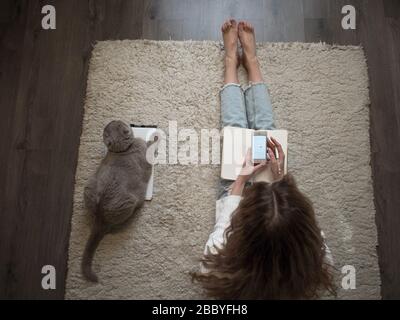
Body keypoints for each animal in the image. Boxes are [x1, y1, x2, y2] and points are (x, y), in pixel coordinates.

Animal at [81, 120, 156, 282]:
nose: (127, 122)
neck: (121, 151)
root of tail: (99, 218)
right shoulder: (142, 148)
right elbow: (148, 145)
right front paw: (154, 139)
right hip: (130, 203)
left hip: (88, 187)